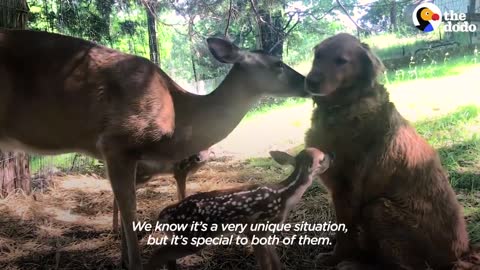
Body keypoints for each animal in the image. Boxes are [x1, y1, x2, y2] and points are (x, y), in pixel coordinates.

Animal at [0, 30, 308, 270]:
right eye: (278, 63)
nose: (308, 83)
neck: (178, 117)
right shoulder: (116, 142)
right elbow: (130, 210)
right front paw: (132, 262)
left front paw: (123, 259)